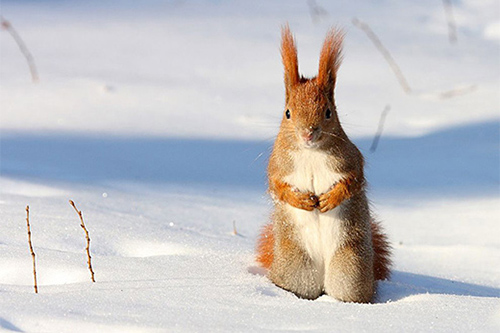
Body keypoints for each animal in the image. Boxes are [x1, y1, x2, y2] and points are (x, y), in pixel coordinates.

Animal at [256, 24, 392, 302]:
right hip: (296, 267)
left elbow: (353, 181)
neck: (311, 152)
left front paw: (331, 199)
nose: (308, 133)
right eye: (287, 113)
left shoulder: (351, 159)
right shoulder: (277, 166)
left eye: (328, 112)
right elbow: (277, 187)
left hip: (350, 268)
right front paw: (302, 200)